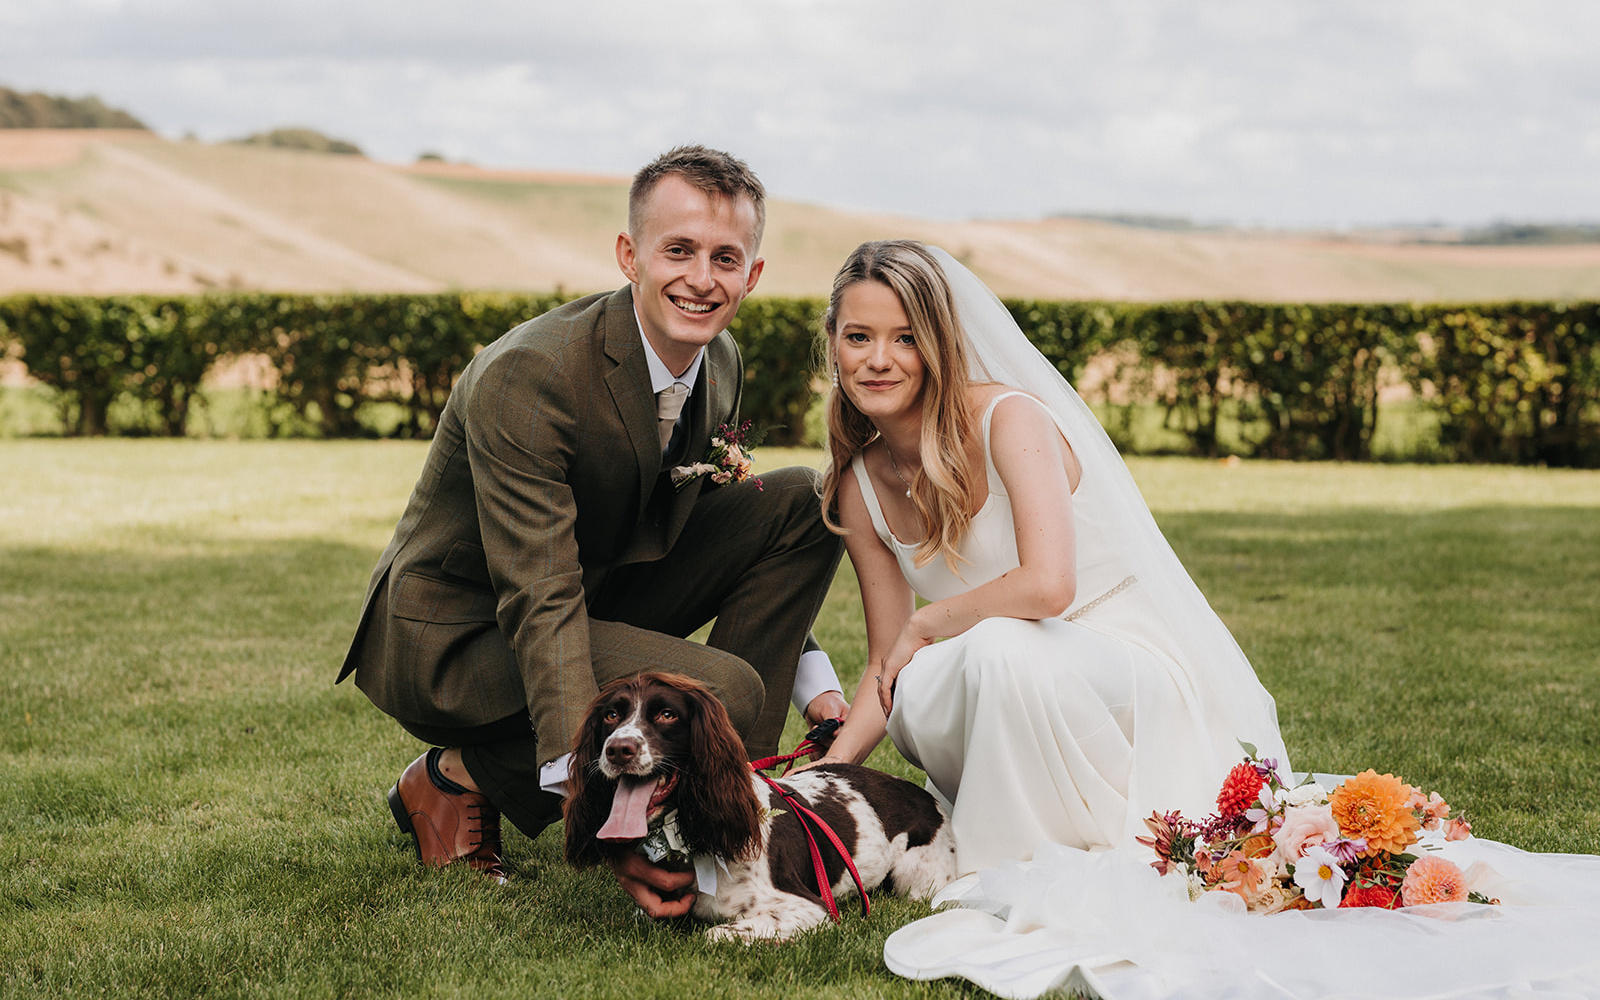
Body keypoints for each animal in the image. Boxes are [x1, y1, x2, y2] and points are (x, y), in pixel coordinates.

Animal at [569, 672, 953, 934]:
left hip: (920, 882)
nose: (618, 750)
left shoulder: (810, 909)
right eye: (610, 715)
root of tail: (926, 797)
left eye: (667, 714)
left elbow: (714, 935)